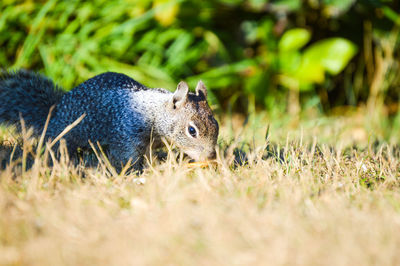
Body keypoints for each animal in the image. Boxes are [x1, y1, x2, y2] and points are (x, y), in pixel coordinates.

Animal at [0, 69, 219, 168]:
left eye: (216, 124)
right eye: (192, 130)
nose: (210, 157)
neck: (153, 111)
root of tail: (53, 115)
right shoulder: (127, 135)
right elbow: (128, 158)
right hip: (63, 137)